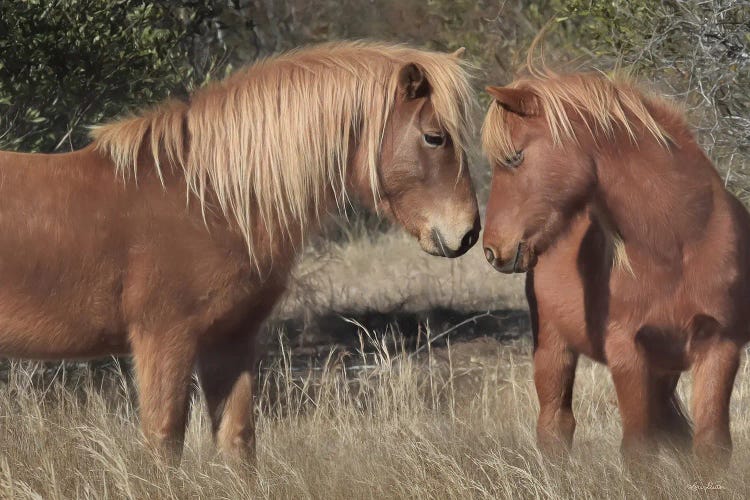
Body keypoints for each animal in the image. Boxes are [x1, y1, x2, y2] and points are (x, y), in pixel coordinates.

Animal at [0, 42, 482, 460]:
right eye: (434, 137)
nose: (468, 233)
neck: (208, 199)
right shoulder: (164, 340)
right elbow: (164, 441)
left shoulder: (229, 340)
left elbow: (238, 441)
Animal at [482, 69, 750, 464]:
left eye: (515, 158)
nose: (492, 249)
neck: (679, 244)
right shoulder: (627, 351)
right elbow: (638, 449)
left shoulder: (719, 345)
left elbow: (710, 446)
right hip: (553, 347)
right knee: (555, 424)